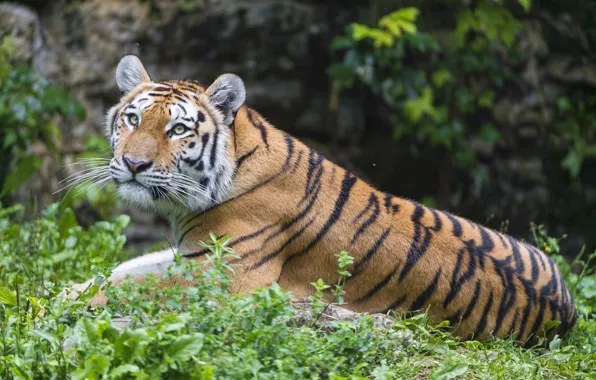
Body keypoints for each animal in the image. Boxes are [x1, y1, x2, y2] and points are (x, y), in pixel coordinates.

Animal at [70, 54, 576, 348]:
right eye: (132, 118)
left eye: (177, 129)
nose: (133, 163)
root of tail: (568, 311)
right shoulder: (188, 256)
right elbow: (121, 271)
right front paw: (73, 288)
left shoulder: (220, 277)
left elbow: (133, 286)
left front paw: (70, 300)